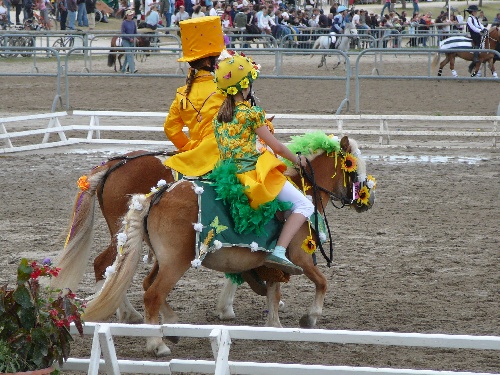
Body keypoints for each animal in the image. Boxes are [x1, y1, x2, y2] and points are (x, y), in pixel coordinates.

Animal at [82, 134, 374, 356]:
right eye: (353, 167)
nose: (367, 201)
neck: (304, 191)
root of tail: (158, 194)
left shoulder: (271, 263)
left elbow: (273, 290)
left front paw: (274, 324)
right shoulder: (300, 259)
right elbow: (322, 282)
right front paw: (310, 316)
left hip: (163, 260)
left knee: (147, 286)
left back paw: (171, 326)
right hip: (175, 263)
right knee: (149, 293)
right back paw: (156, 342)